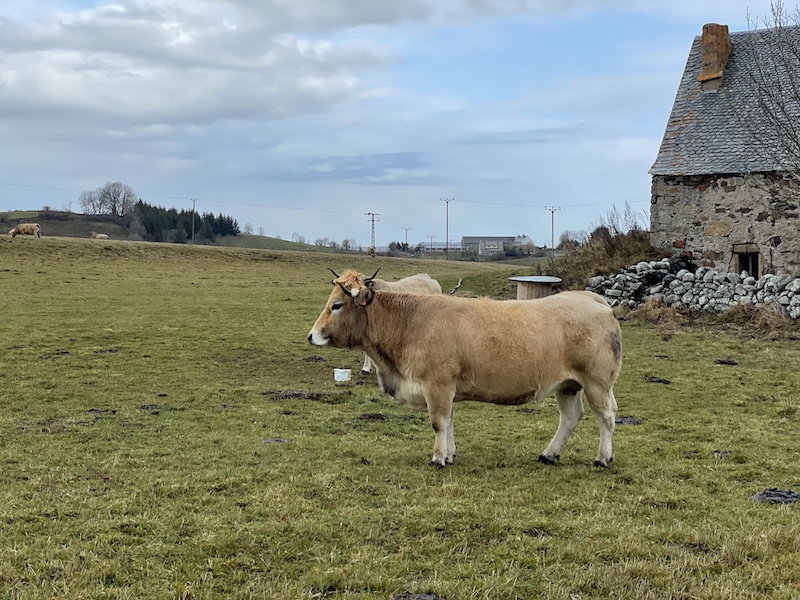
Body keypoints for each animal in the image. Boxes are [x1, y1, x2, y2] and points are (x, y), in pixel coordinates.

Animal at [308, 270, 622, 468]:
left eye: (336, 305)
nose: (312, 336)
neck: (410, 322)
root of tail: (590, 298)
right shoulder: (446, 389)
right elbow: (449, 422)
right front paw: (449, 455)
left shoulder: (436, 385)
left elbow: (438, 422)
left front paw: (438, 458)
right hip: (568, 385)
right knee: (570, 417)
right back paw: (548, 454)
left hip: (597, 382)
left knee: (606, 417)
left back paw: (603, 458)